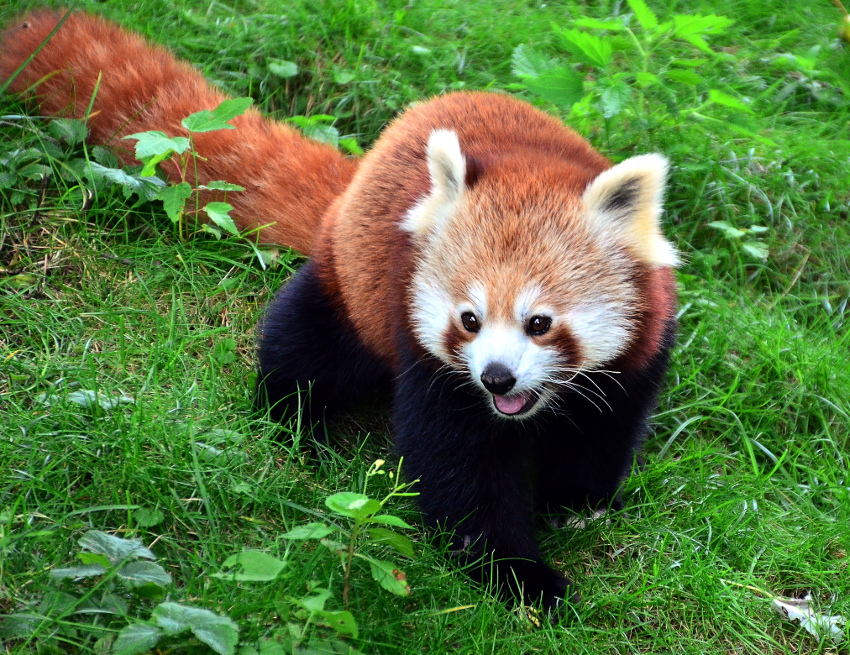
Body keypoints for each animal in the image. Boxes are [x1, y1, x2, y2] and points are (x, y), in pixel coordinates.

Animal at [0, 11, 676, 616]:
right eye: (469, 320)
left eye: (540, 323)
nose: (495, 378)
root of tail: (371, 159)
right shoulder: (424, 348)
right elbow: (461, 472)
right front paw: (520, 578)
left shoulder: (640, 354)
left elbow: (603, 432)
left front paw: (573, 500)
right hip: (348, 284)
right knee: (306, 346)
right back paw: (294, 420)